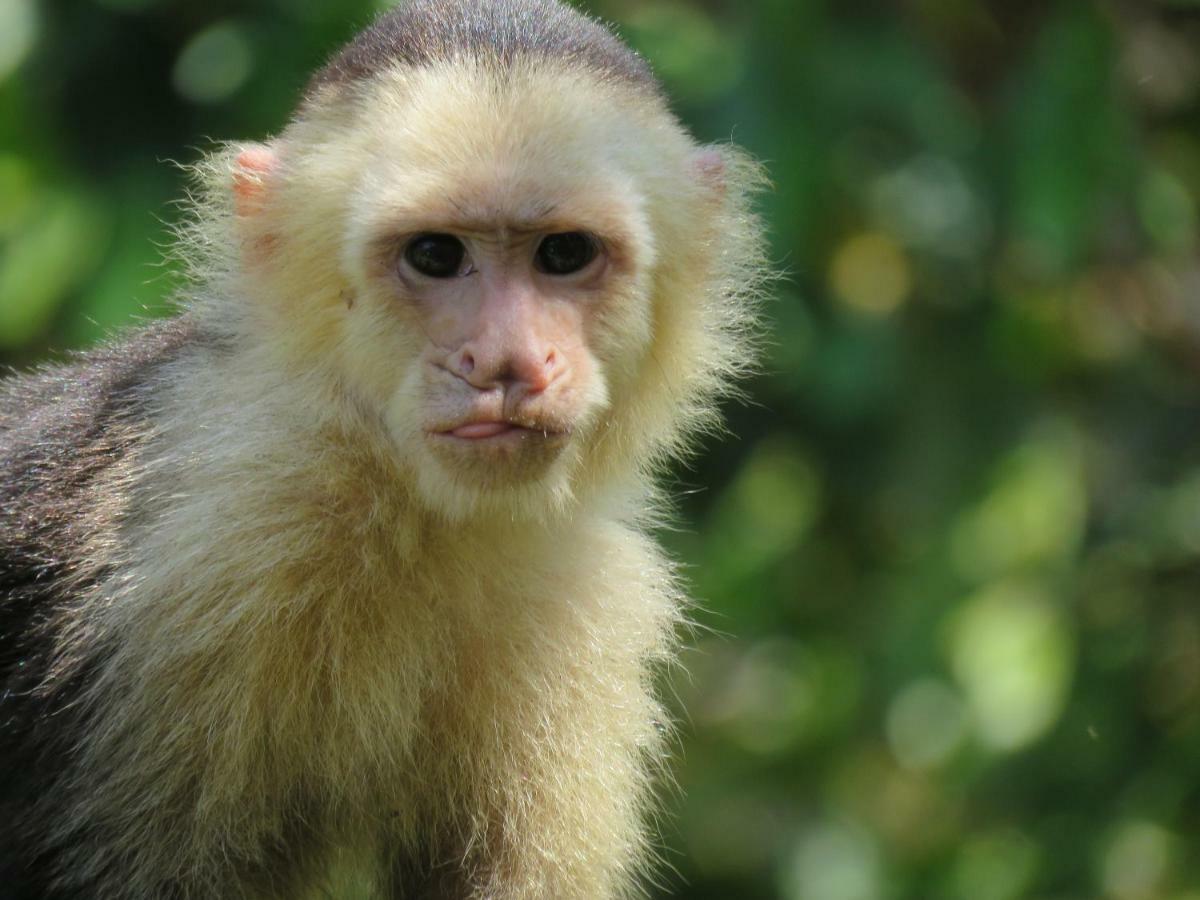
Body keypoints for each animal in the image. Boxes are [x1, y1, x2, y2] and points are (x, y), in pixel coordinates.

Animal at [0, 0, 768, 897]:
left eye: (564, 253)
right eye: (435, 255)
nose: (505, 362)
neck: (399, 494)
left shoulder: (581, 604)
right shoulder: (199, 552)